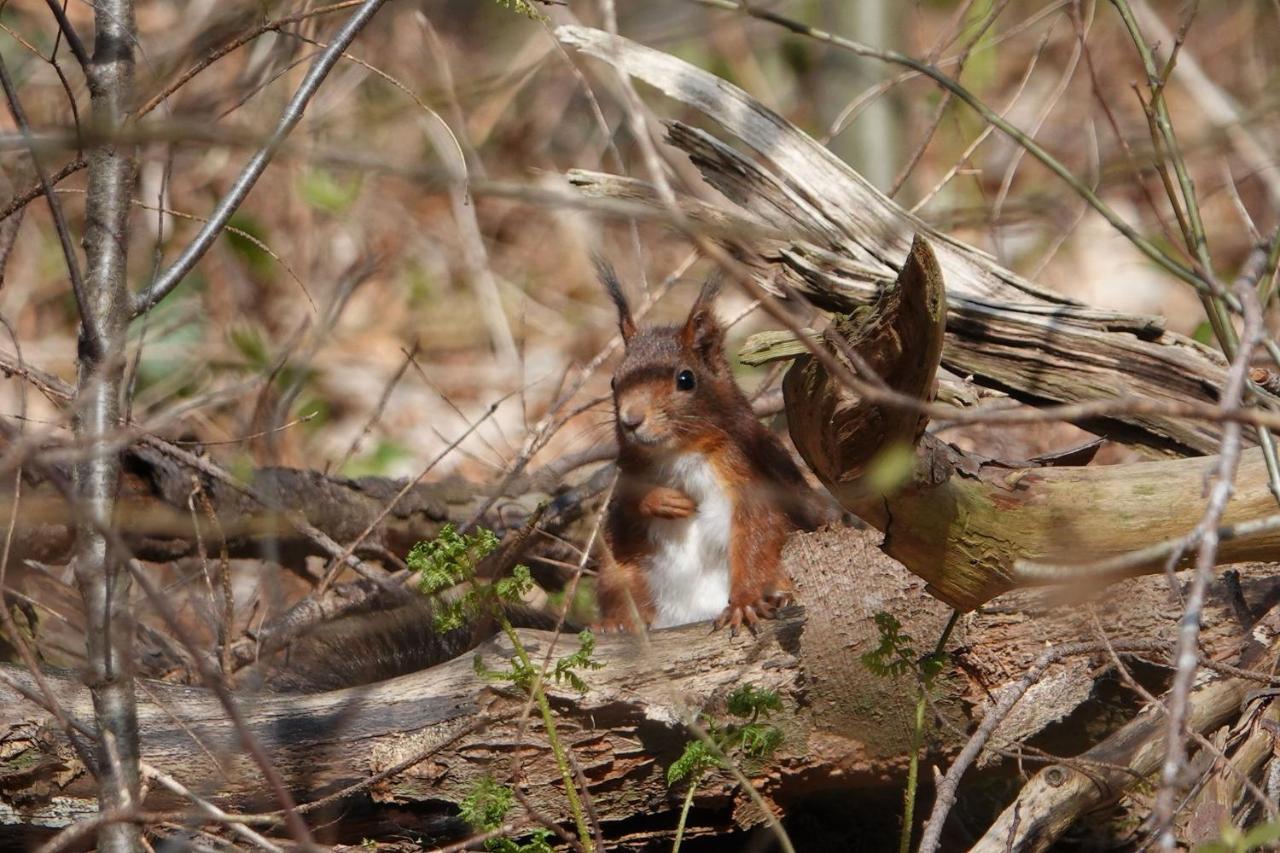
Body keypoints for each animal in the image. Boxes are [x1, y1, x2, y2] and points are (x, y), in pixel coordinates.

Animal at [596, 258, 824, 630]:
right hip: (619, 570)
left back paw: (779, 596)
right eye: (614, 381)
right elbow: (626, 498)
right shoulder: (628, 468)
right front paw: (663, 500)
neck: (677, 453)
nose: (631, 420)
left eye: (685, 379)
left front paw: (745, 602)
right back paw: (614, 624)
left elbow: (759, 531)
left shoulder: (750, 470)